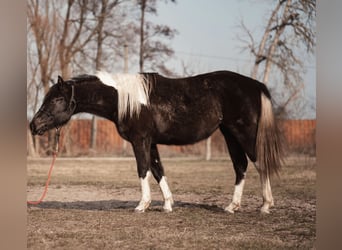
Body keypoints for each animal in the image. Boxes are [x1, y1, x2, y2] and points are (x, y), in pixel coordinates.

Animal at [30, 70, 284, 213]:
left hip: (244, 133)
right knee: (240, 166)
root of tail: (255, 85)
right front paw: (168, 204)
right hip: (230, 134)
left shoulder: (140, 140)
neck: (125, 100)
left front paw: (142, 205)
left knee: (259, 163)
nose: (33, 125)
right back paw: (232, 207)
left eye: (57, 99)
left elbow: (143, 169)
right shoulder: (150, 142)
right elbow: (158, 170)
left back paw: (265, 205)